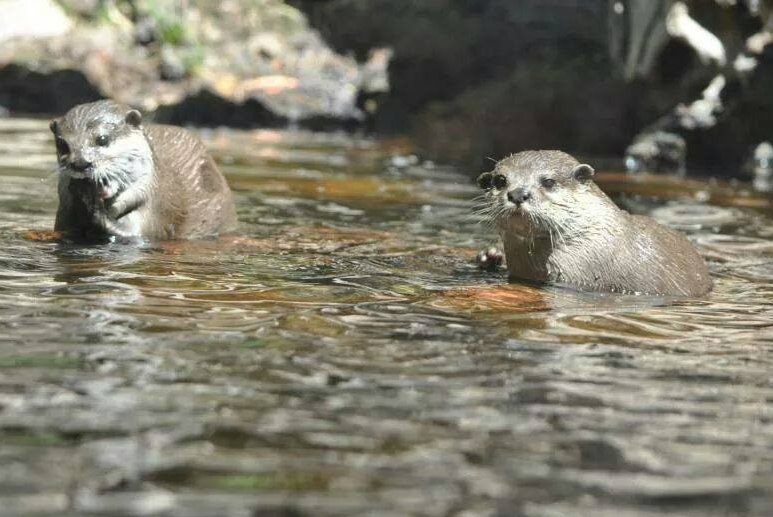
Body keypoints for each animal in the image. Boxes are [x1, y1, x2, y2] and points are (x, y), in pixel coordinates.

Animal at [50, 100, 237, 241]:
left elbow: (133, 231)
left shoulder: (154, 207)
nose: (81, 163)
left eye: (102, 139)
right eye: (62, 144)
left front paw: (93, 204)